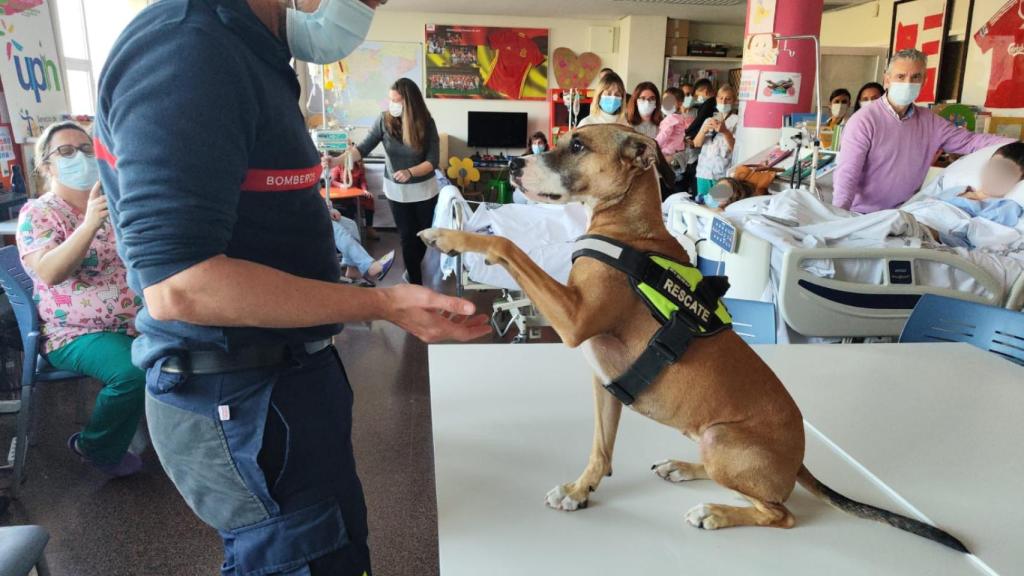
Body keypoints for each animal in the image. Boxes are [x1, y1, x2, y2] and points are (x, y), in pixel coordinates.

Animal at [419, 124, 970, 553]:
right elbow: (600, 449)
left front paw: (451, 237)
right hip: (708, 437)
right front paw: (581, 490)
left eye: (577, 145)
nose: (514, 165)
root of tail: (799, 461)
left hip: (725, 439)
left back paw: (716, 512)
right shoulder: (605, 386)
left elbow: (507, 244)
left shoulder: (575, 318)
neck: (628, 231)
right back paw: (685, 468)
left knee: (780, 513)